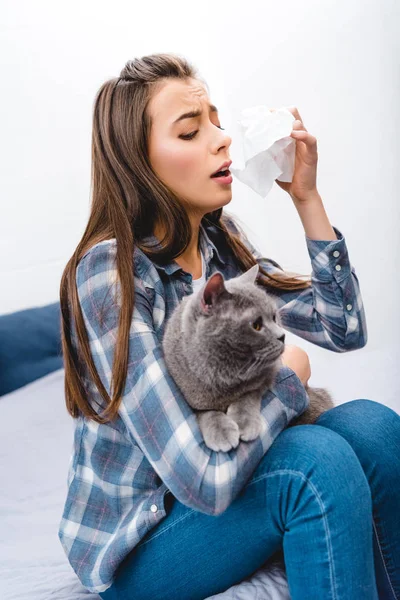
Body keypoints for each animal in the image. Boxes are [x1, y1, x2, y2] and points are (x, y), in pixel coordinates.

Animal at [162, 262, 334, 450]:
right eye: (256, 325)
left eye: (274, 317)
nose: (282, 336)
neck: (223, 374)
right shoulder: (190, 394)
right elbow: (206, 411)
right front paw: (221, 432)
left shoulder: (266, 376)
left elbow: (248, 395)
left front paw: (244, 423)